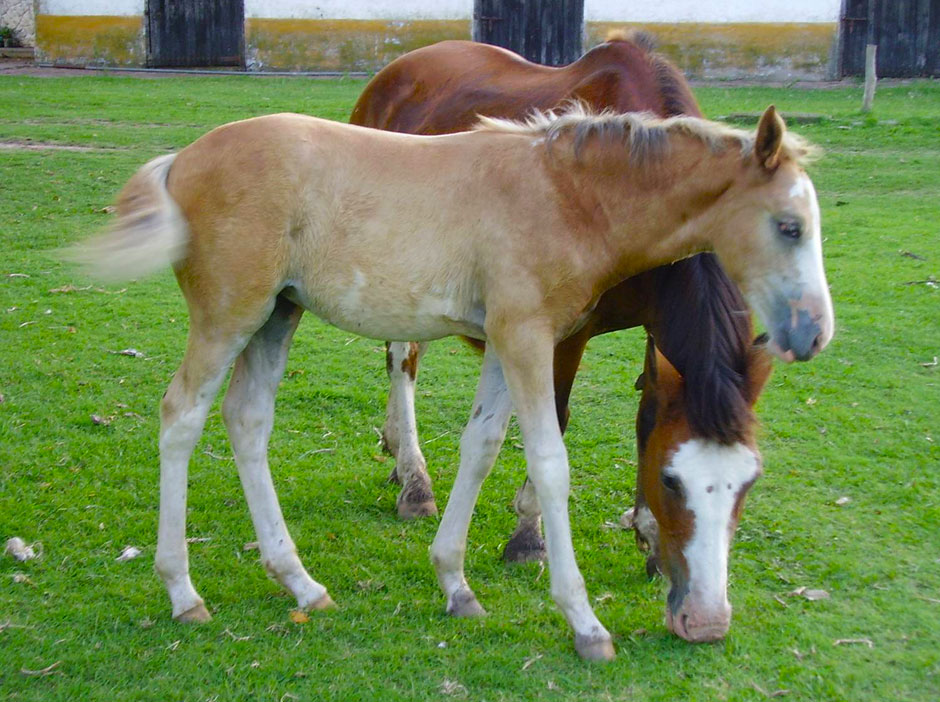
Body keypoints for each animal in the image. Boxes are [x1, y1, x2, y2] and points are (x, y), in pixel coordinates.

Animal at [77, 100, 832, 664]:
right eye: (790, 227)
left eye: (747, 483)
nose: (814, 333)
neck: (568, 194)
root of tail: (182, 159)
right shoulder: (529, 335)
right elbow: (549, 463)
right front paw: (584, 623)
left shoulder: (503, 341)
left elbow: (483, 447)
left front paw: (455, 584)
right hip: (231, 312)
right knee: (181, 416)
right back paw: (183, 593)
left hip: (278, 313)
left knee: (246, 419)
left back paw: (301, 583)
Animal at [352, 37, 792, 644]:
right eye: (672, 481)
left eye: (749, 483)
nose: (705, 622)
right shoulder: (561, 333)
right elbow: (553, 425)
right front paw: (528, 536)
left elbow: (648, 414)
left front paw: (647, 534)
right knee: (403, 362)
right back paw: (414, 479)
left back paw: (398, 455)